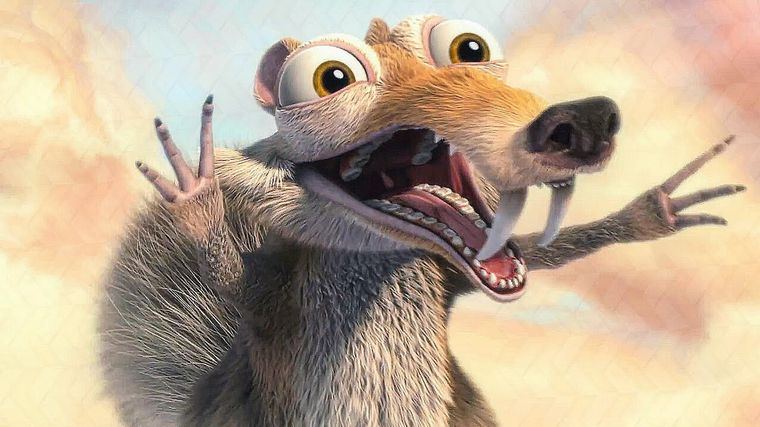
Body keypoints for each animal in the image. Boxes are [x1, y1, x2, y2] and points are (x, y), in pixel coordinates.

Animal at [99, 16, 745, 427]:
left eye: (470, 48)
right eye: (330, 78)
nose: (583, 121)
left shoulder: (448, 274)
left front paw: (655, 210)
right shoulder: (269, 300)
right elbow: (236, 278)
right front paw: (198, 194)